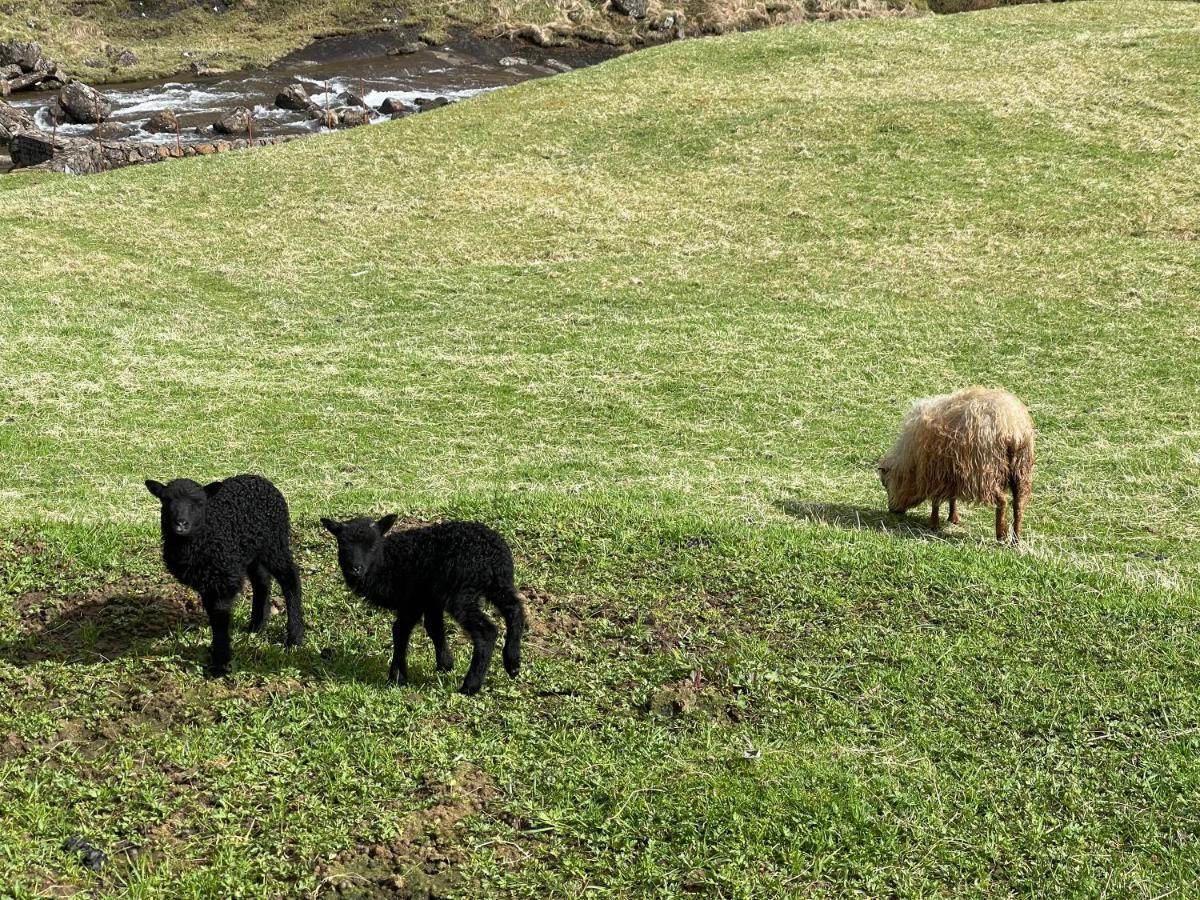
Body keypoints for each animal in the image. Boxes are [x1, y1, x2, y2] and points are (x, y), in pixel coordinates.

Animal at [145, 480, 304, 676]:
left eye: (200, 502)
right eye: (166, 500)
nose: (181, 524)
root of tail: (260, 479)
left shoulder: (224, 580)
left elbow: (220, 619)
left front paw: (220, 664)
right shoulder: (207, 583)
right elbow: (214, 617)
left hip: (275, 541)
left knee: (290, 578)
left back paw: (295, 637)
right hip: (251, 550)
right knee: (262, 581)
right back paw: (256, 627)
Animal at [319, 513, 525, 696]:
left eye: (373, 544)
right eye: (343, 545)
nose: (355, 569)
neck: (387, 562)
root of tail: (490, 554)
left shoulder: (412, 601)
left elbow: (400, 631)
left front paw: (396, 677)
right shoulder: (430, 599)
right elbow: (434, 628)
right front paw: (445, 664)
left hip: (461, 592)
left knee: (486, 631)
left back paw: (470, 686)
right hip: (499, 582)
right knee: (515, 609)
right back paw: (512, 662)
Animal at [878, 388, 1036, 542]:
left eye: (885, 484)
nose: (892, 510)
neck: (910, 462)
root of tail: (1011, 427)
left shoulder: (935, 473)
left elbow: (936, 501)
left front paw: (933, 524)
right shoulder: (952, 471)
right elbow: (952, 497)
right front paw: (953, 518)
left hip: (984, 473)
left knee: (1002, 501)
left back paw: (1001, 535)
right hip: (1021, 469)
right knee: (1018, 505)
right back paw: (1015, 539)